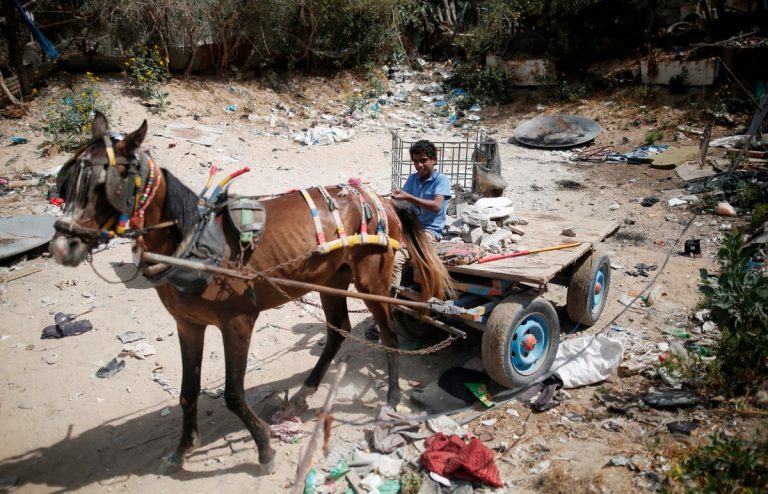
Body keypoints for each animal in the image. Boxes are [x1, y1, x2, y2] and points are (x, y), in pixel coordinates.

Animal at [51, 113, 452, 474]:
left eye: (105, 184)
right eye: (65, 182)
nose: (61, 247)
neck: (194, 245)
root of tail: (382, 199)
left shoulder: (238, 323)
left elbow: (233, 393)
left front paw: (263, 448)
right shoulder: (188, 325)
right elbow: (187, 392)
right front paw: (183, 448)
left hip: (373, 282)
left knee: (388, 334)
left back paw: (392, 395)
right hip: (332, 280)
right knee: (337, 331)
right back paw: (305, 393)